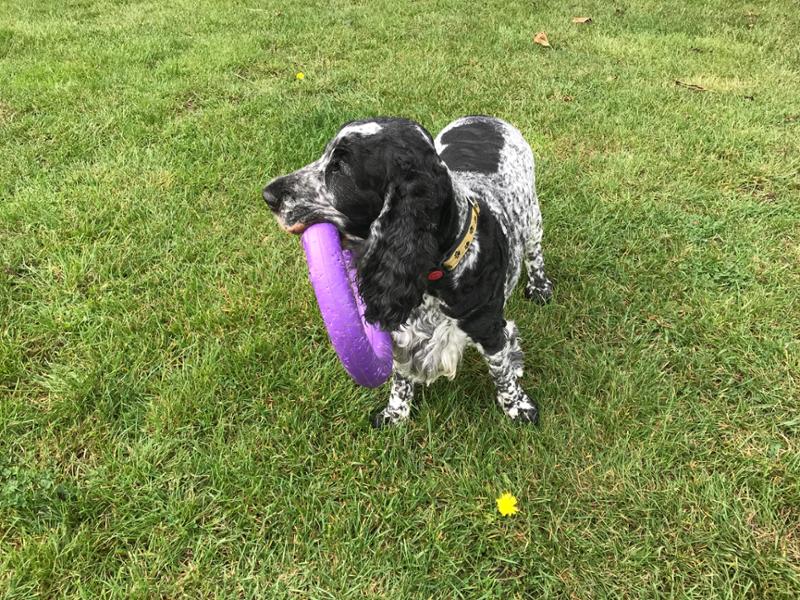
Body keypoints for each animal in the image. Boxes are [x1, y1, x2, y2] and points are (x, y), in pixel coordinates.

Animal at [262, 116, 552, 426]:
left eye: (339, 168)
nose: (267, 195)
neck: (434, 277)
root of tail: (483, 118)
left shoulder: (487, 327)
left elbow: (501, 370)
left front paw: (518, 406)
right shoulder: (399, 331)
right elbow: (400, 376)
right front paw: (395, 414)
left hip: (532, 218)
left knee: (534, 253)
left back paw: (540, 288)